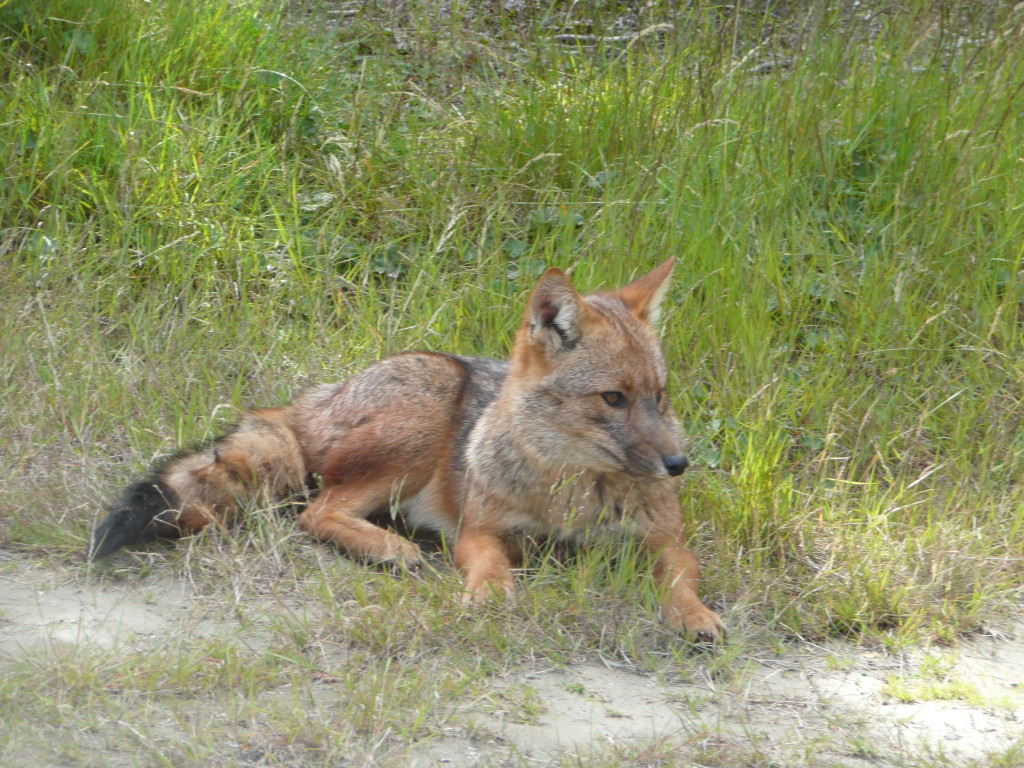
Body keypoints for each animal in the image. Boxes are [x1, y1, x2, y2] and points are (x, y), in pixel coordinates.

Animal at [88, 259, 724, 642]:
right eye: (613, 398)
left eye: (659, 397)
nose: (678, 465)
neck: (572, 499)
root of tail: (313, 400)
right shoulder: (480, 532)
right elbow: (491, 567)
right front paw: (490, 595)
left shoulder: (667, 543)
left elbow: (679, 583)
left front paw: (696, 617)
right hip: (422, 422)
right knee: (315, 513)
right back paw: (389, 549)